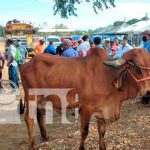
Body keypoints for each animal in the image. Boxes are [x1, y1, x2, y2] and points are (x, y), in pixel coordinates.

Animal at [20, 48, 150, 150]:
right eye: (137, 69)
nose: (148, 91)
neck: (107, 76)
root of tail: (27, 64)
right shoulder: (86, 109)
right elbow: (84, 132)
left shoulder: (101, 111)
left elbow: (102, 131)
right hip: (31, 97)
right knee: (29, 119)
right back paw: (31, 145)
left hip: (41, 99)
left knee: (40, 116)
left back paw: (45, 137)